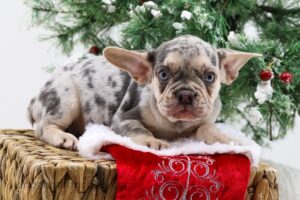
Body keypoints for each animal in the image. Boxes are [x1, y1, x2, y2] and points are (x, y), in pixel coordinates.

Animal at [27, 35, 260, 150]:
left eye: (210, 77)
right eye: (163, 74)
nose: (185, 94)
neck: (175, 125)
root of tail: (35, 98)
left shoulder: (204, 122)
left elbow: (207, 129)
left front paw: (226, 140)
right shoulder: (124, 118)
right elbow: (139, 129)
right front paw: (152, 142)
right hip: (65, 100)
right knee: (44, 127)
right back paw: (63, 137)